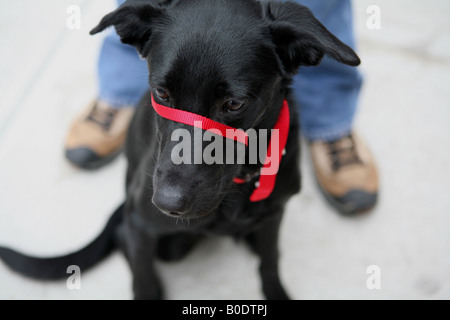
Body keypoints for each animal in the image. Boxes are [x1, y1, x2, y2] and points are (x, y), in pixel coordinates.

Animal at [0, 0, 358, 300]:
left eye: (234, 103)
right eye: (161, 92)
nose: (167, 203)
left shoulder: (274, 215)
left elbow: (270, 260)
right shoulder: (142, 223)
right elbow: (142, 276)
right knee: (123, 236)